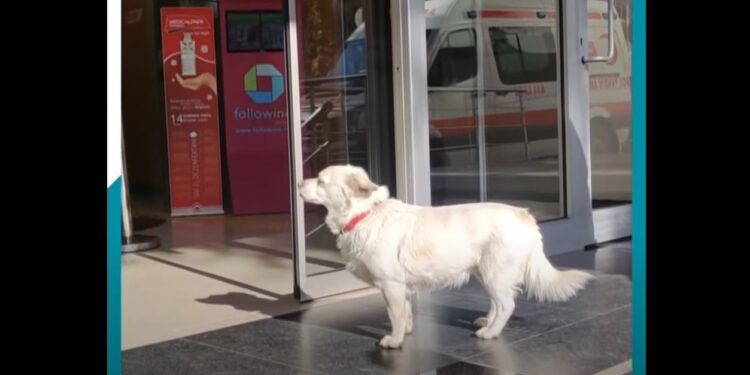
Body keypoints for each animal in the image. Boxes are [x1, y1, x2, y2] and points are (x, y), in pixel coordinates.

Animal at [298, 165, 592, 350]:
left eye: (321, 180)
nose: (299, 182)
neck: (365, 214)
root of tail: (524, 214)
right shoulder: (401, 287)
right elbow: (405, 312)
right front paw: (407, 330)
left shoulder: (391, 284)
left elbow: (395, 314)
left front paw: (394, 340)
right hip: (484, 273)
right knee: (497, 303)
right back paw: (487, 321)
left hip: (495, 273)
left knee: (506, 305)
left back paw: (491, 332)